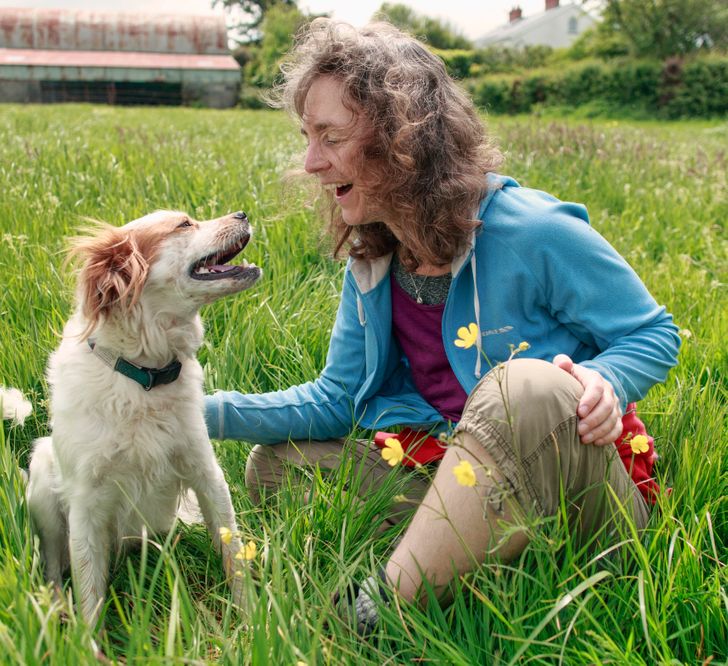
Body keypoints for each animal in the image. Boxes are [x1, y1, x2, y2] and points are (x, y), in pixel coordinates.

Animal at [27, 209, 264, 628]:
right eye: (184, 224)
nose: (242, 213)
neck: (143, 377)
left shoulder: (206, 473)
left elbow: (232, 553)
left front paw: (251, 623)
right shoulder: (85, 503)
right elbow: (88, 588)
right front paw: (88, 641)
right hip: (41, 476)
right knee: (53, 564)